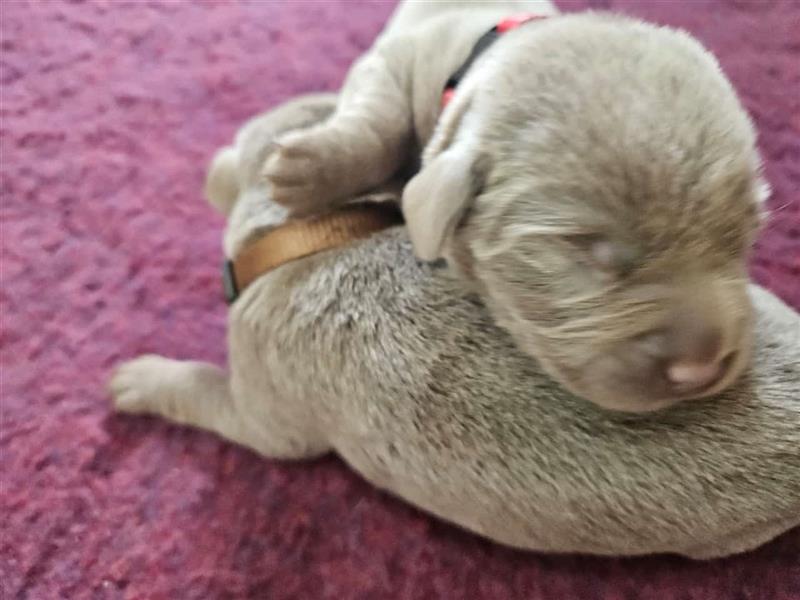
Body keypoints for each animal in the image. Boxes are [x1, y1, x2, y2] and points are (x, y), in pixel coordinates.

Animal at [262, 0, 768, 412]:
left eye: (741, 236)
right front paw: (308, 170)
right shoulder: (396, 61)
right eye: (586, 249)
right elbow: (380, 121)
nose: (702, 369)